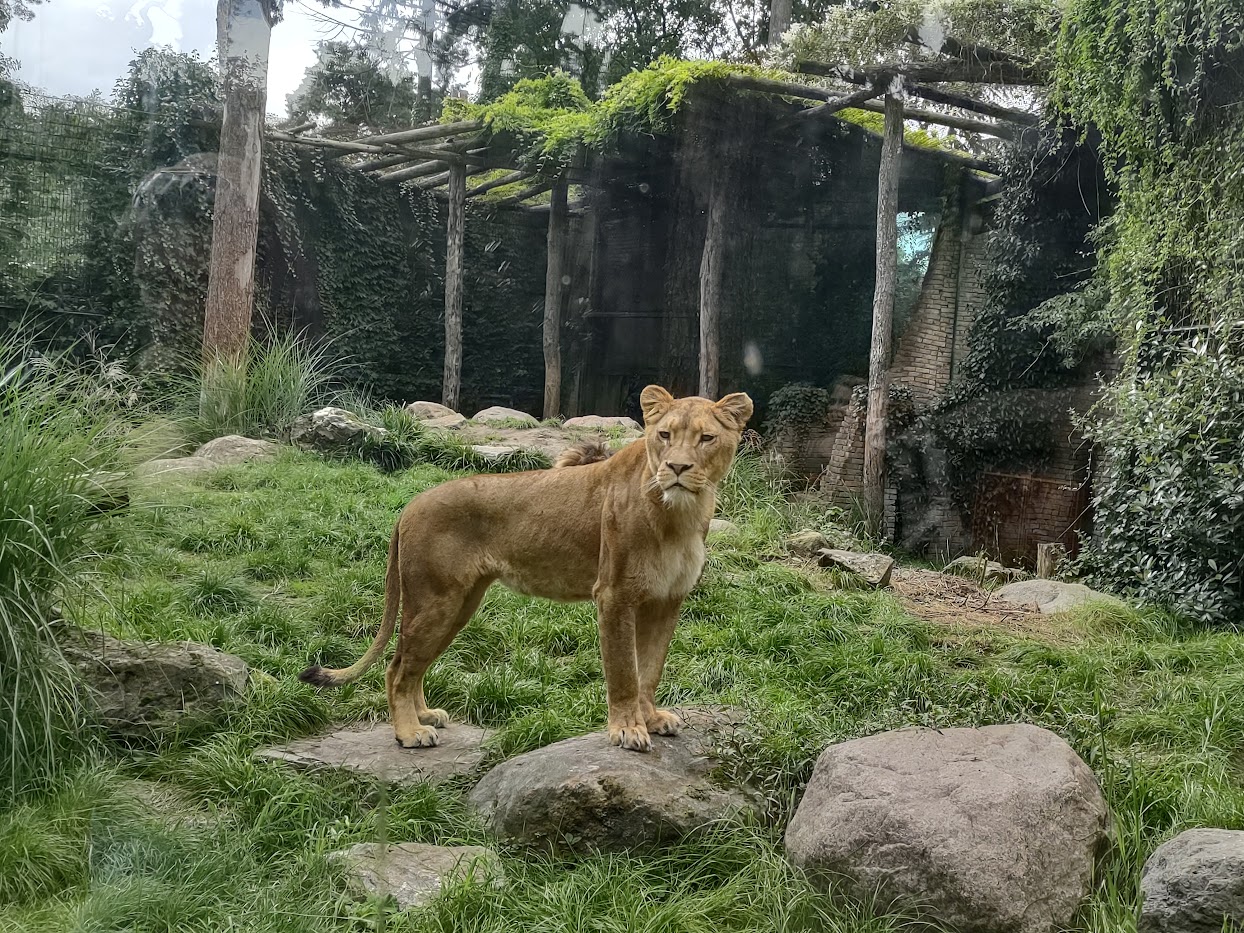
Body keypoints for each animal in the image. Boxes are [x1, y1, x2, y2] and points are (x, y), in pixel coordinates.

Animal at [300, 385, 753, 752]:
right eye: (664, 436)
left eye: (706, 438)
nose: (677, 468)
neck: (680, 515)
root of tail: (410, 504)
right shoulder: (614, 595)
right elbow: (624, 670)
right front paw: (627, 731)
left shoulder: (666, 600)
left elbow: (650, 670)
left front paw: (652, 719)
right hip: (434, 601)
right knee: (397, 668)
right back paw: (410, 733)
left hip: (459, 606)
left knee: (414, 665)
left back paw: (425, 716)